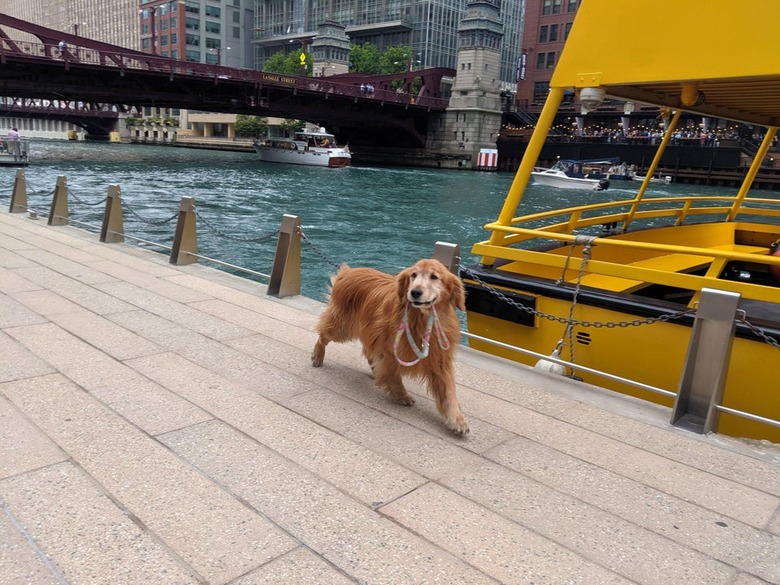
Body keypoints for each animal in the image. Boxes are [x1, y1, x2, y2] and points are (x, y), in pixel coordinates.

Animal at [310, 256, 470, 434]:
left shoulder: (439, 358)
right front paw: (401, 395)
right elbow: (393, 374)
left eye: (434, 277)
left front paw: (457, 419)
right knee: (323, 335)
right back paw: (317, 356)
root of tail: (348, 271)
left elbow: (448, 391)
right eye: (413, 275)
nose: (415, 292)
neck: (422, 317)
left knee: (368, 351)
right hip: (341, 326)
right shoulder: (390, 349)